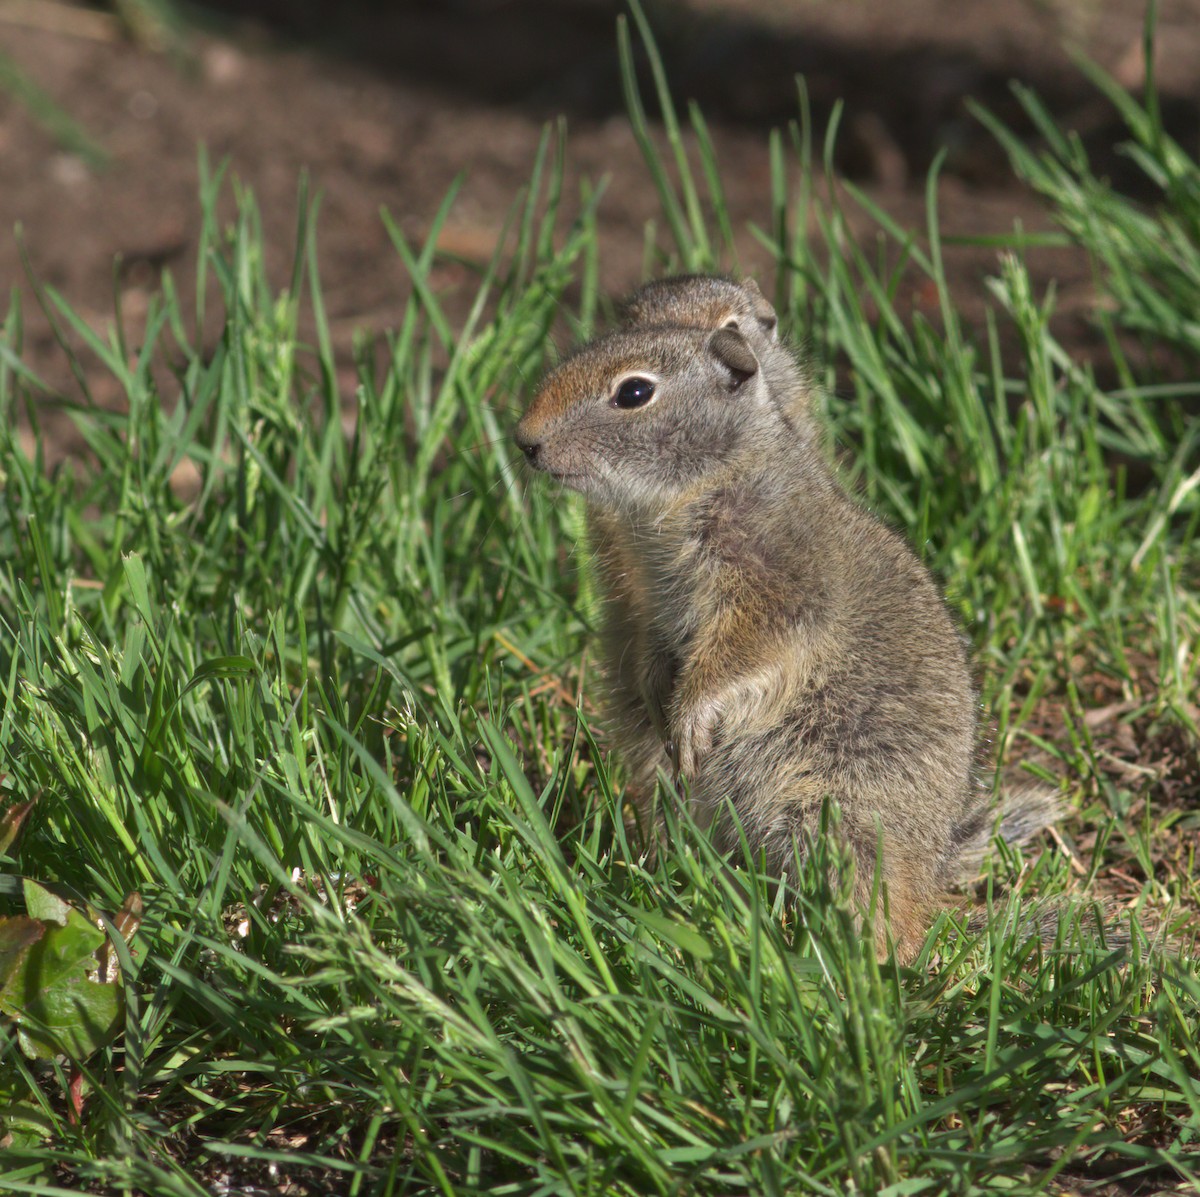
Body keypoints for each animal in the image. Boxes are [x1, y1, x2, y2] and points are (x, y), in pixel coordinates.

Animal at [515, 275, 1059, 958]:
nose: (525, 439)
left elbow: (741, 655)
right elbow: (653, 648)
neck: (710, 482)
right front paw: (661, 695)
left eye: (633, 392)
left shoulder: (776, 589)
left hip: (833, 818)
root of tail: (930, 885)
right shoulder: (653, 601)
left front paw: (690, 715)